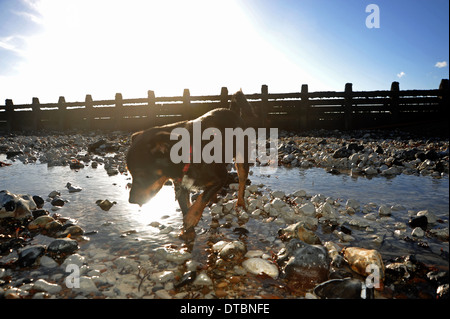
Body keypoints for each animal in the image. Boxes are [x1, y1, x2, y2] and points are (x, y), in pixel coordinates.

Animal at [126, 92, 258, 235]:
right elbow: (185, 208)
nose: (131, 201)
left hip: (241, 159)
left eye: (141, 174)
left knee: (242, 181)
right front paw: (188, 231)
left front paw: (191, 217)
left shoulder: (222, 176)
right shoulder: (180, 187)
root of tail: (232, 111)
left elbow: (201, 198)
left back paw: (240, 202)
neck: (190, 155)